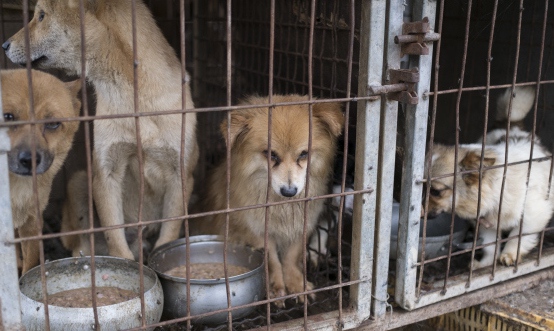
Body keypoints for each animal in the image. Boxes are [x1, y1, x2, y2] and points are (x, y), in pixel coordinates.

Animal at [3, 0, 198, 260]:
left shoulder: (181, 174)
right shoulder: (106, 172)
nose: (4, 45)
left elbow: (168, 235)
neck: (133, 98)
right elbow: (116, 240)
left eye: (42, 15)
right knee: (83, 245)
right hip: (78, 183)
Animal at [192, 95, 342, 306]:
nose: (289, 191)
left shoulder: (301, 225)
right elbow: (272, 260)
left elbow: (291, 257)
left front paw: (296, 283)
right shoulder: (257, 231)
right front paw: (275, 286)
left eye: (303, 154)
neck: (281, 207)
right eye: (271, 154)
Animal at [422, 85, 548, 270]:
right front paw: (485, 263)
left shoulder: (533, 215)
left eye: (436, 192)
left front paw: (509, 255)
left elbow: (517, 237)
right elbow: (490, 245)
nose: (419, 212)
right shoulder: (486, 223)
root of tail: (511, 124)